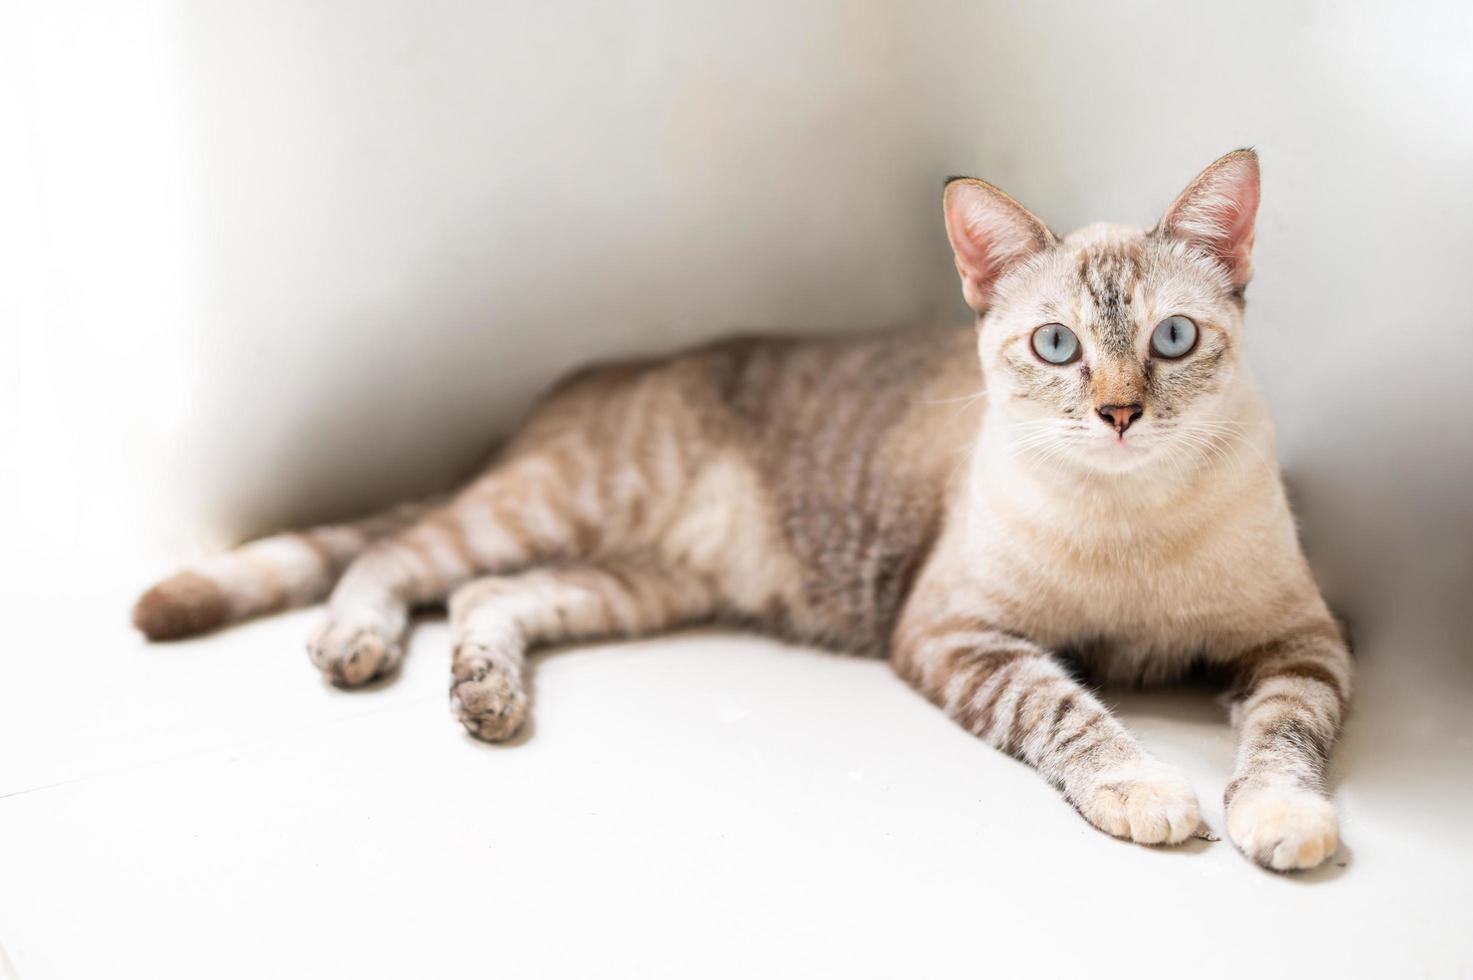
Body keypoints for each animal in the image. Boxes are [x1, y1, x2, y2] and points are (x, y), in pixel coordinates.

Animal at [135, 151, 1349, 872]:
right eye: (1057, 346)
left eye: (1171, 339)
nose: (1117, 412)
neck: (1130, 514)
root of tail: (558, 397)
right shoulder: (956, 632)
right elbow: (1069, 711)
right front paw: (1145, 787)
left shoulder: (1301, 642)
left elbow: (1285, 737)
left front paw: (1282, 821)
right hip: (545, 507)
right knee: (393, 560)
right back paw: (358, 643)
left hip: (638, 583)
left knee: (485, 597)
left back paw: (487, 695)